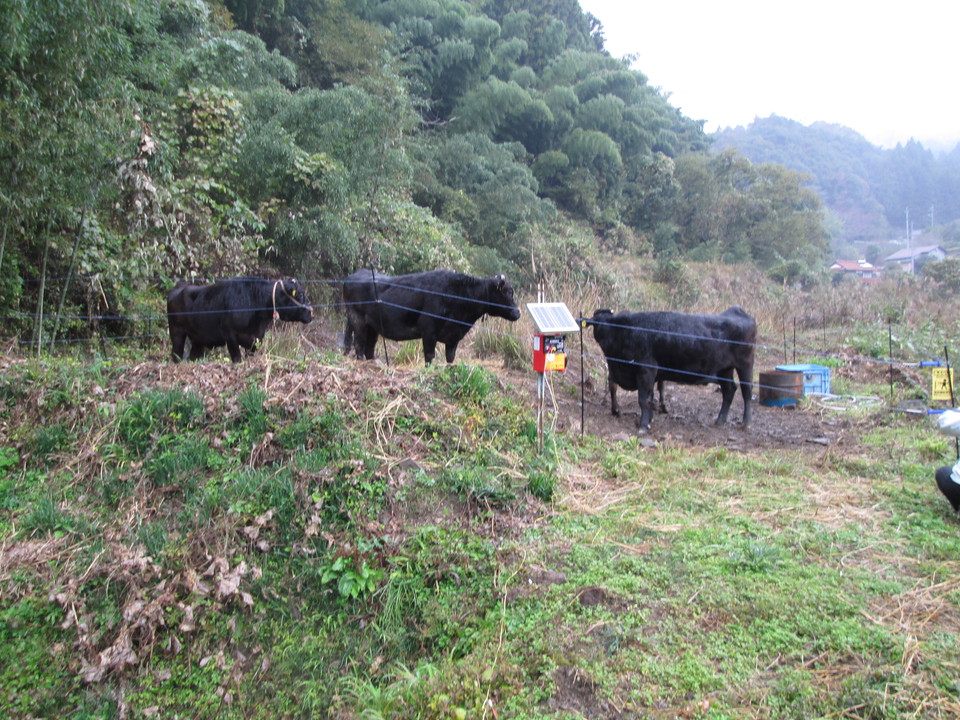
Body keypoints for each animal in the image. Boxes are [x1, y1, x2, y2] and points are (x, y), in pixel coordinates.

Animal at [167, 278, 314, 362]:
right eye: (301, 294)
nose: (311, 313)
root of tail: (180, 286)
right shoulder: (229, 333)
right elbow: (237, 357)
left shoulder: (257, 337)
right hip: (176, 332)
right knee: (176, 354)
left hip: (198, 339)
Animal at [344, 268, 520, 366]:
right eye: (508, 292)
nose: (517, 313)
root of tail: (355, 274)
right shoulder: (428, 330)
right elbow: (429, 356)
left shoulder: (453, 336)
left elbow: (450, 358)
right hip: (357, 319)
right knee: (359, 343)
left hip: (372, 326)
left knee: (369, 347)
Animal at [584, 306, 756, 430]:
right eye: (596, 323)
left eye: (606, 325)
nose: (604, 341)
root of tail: (738, 311)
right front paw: (649, 419)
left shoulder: (646, 369)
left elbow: (644, 399)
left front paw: (643, 426)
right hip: (724, 369)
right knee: (729, 390)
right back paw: (720, 420)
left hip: (745, 364)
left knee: (746, 391)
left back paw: (746, 422)